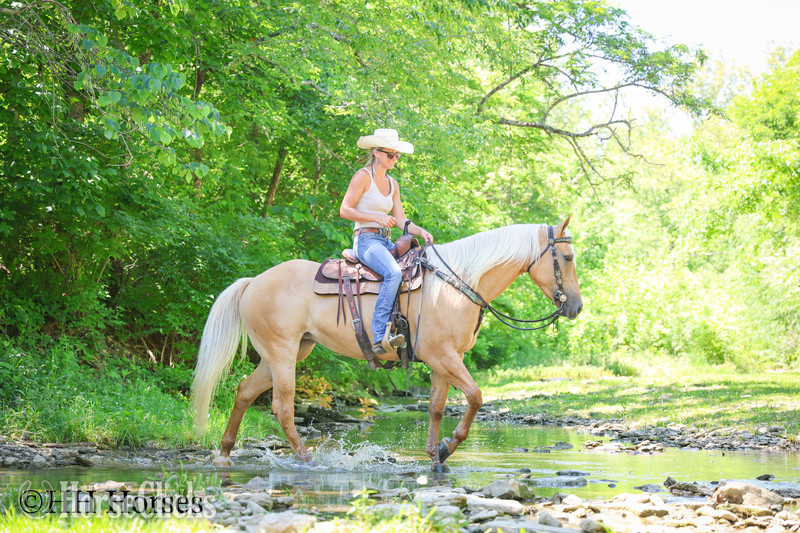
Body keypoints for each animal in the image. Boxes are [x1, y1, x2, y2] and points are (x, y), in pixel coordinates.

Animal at [191, 216, 582, 472]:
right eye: (567, 257)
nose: (576, 307)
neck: (458, 282)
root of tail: (252, 282)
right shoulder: (444, 356)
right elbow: (475, 397)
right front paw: (448, 447)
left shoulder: (444, 361)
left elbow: (436, 408)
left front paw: (435, 456)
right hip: (282, 354)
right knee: (282, 408)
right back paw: (308, 459)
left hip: (284, 354)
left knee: (244, 391)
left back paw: (224, 453)